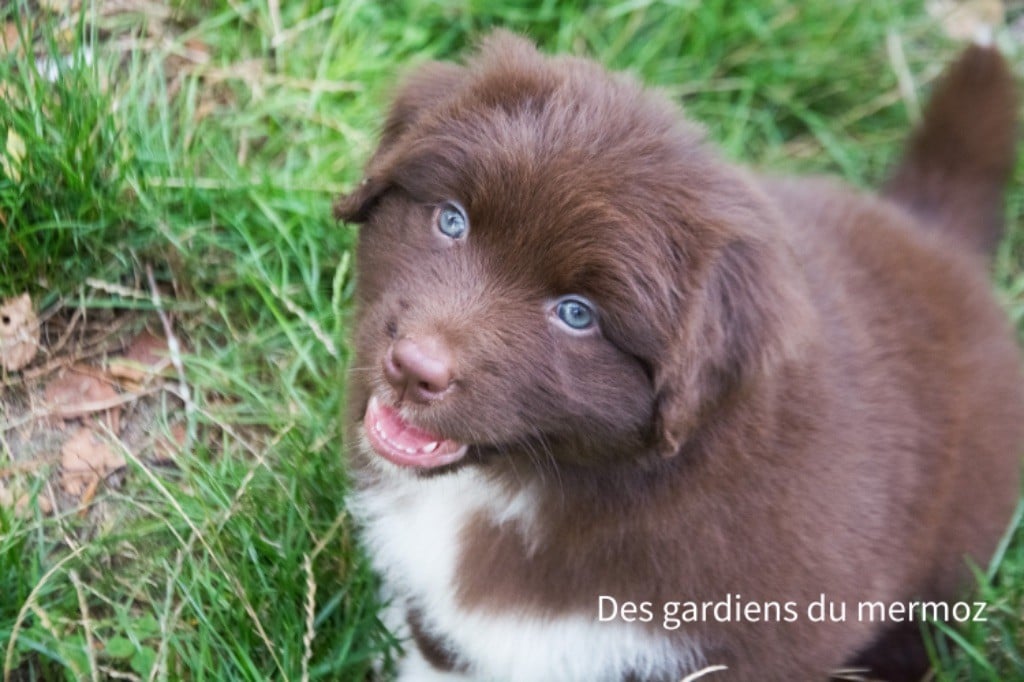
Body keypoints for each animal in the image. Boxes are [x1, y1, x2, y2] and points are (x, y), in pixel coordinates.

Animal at [337, 33, 1024, 679]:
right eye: (452, 221)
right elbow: (441, 647)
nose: (413, 367)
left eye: (577, 314)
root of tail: (931, 234)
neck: (529, 484)